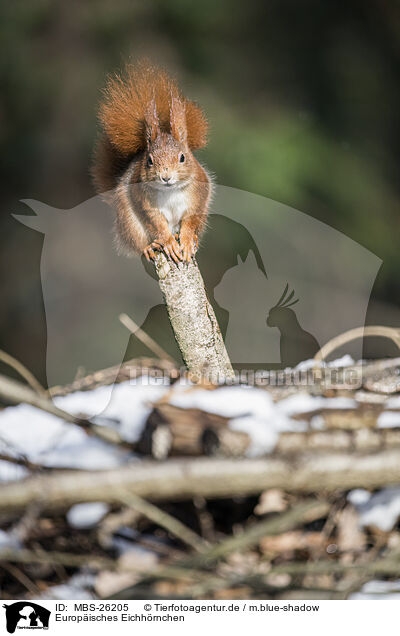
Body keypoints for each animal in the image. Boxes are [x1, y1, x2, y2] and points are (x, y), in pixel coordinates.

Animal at [91, 60, 212, 264]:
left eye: (182, 157)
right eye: (149, 160)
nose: (166, 177)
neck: (170, 191)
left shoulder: (199, 196)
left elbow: (190, 220)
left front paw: (187, 240)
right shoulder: (145, 202)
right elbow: (156, 223)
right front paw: (169, 243)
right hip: (130, 224)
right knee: (139, 243)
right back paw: (149, 248)